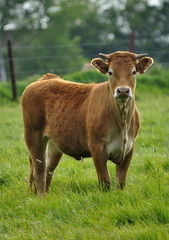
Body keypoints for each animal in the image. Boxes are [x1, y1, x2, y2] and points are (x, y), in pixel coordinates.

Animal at [20, 51, 153, 196]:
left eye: (133, 72)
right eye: (110, 72)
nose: (123, 90)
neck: (121, 123)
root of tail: (46, 78)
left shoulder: (129, 149)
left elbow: (121, 182)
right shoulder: (97, 148)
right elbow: (105, 182)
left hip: (54, 143)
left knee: (48, 169)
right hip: (33, 135)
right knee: (39, 169)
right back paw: (42, 197)